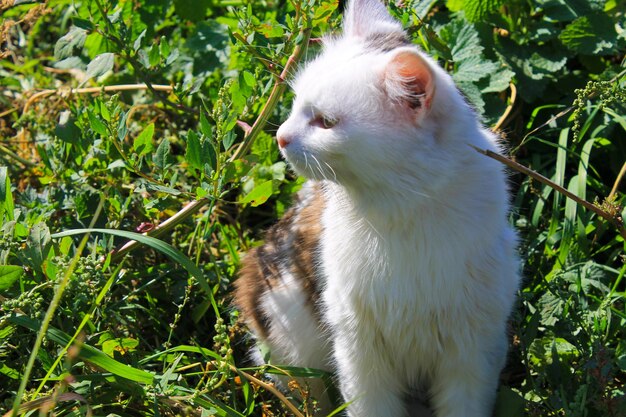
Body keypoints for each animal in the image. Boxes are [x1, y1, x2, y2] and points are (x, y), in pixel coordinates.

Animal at [232, 1, 520, 414]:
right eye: (297, 105)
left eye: (326, 122)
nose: (281, 137)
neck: (404, 211)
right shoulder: (357, 345)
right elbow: (372, 404)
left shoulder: (473, 348)